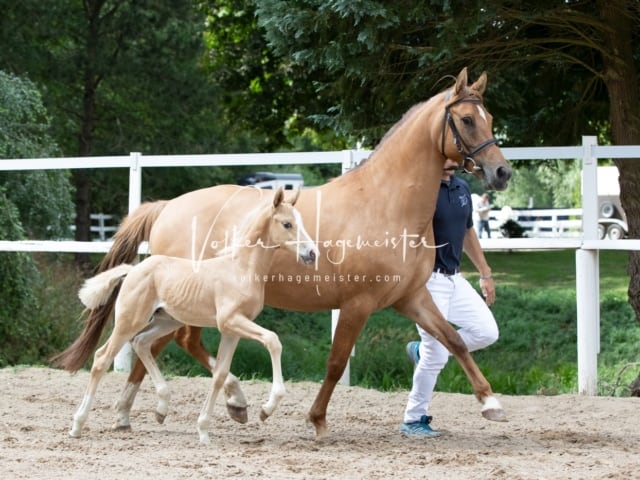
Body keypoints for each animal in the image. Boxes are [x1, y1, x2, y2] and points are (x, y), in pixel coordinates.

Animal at [69, 187, 318, 442]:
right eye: (287, 223)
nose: (312, 253)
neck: (240, 268)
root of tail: (133, 270)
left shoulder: (232, 329)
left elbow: (220, 374)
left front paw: (204, 430)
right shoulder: (231, 321)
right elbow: (273, 340)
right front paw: (267, 408)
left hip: (166, 320)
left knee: (141, 342)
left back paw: (162, 405)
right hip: (130, 320)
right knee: (102, 357)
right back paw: (77, 425)